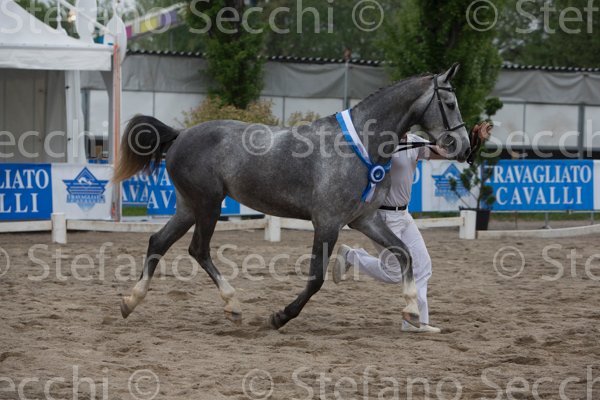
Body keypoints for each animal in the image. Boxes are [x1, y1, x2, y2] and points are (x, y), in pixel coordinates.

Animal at [113, 63, 470, 330]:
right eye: (451, 104)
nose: (464, 147)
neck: (361, 146)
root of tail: (180, 134)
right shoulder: (327, 223)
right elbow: (316, 279)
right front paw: (280, 317)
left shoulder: (364, 219)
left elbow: (404, 252)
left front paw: (411, 310)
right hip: (208, 204)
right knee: (197, 249)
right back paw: (233, 304)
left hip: (189, 206)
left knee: (159, 242)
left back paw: (131, 301)